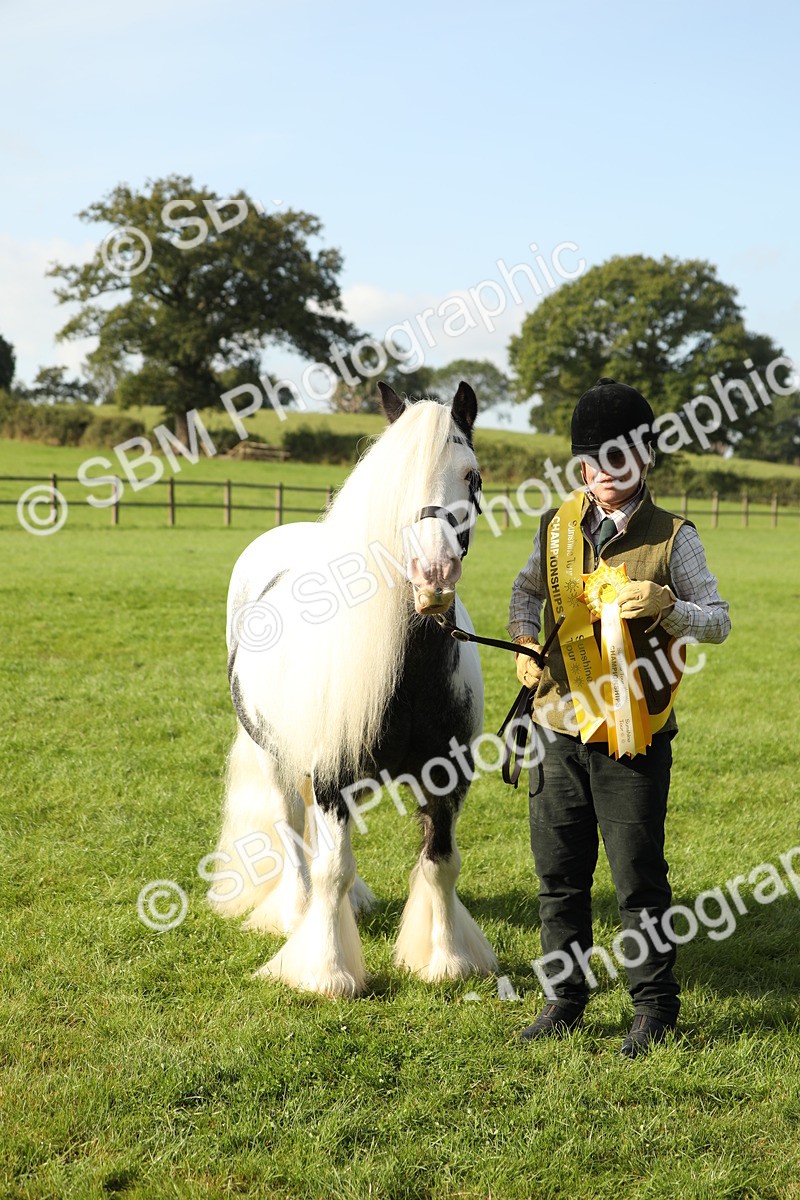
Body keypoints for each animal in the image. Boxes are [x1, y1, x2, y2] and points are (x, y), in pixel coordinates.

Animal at [210, 380, 498, 996]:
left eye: (471, 475)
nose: (433, 572)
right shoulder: (331, 778)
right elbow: (331, 867)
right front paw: (326, 970)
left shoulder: (447, 778)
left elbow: (441, 864)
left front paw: (445, 960)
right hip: (276, 757)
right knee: (293, 833)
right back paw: (294, 913)